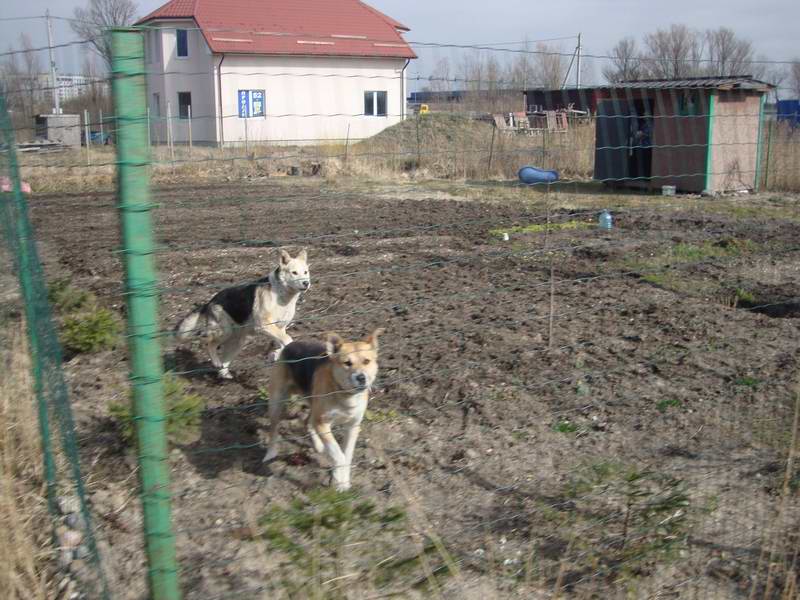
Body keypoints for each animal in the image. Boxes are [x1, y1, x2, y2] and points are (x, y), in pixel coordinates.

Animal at [264, 328, 382, 492]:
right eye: (347, 363)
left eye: (366, 361)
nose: (361, 377)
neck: (345, 394)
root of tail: (289, 345)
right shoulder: (323, 423)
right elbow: (338, 454)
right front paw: (338, 480)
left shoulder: (352, 426)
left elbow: (347, 455)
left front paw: (344, 482)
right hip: (277, 402)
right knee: (274, 427)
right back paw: (270, 453)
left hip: (314, 405)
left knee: (307, 422)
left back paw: (318, 445)